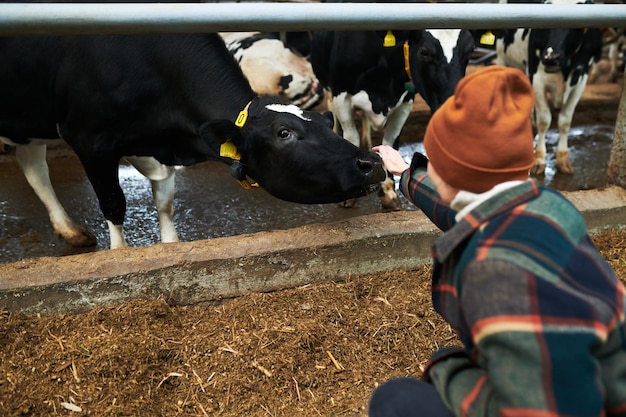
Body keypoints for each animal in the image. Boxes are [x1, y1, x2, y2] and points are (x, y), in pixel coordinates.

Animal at [0, 34, 386, 249]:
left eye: (326, 121)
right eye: (284, 133)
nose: (373, 162)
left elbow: (165, 203)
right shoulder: (89, 140)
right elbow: (113, 205)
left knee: (33, 166)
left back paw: (69, 231)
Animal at [494, 0, 604, 174]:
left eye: (576, 24)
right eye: (545, 20)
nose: (550, 57)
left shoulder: (581, 78)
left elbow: (565, 120)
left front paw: (563, 159)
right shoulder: (536, 77)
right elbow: (544, 119)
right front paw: (539, 160)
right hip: (503, 59)